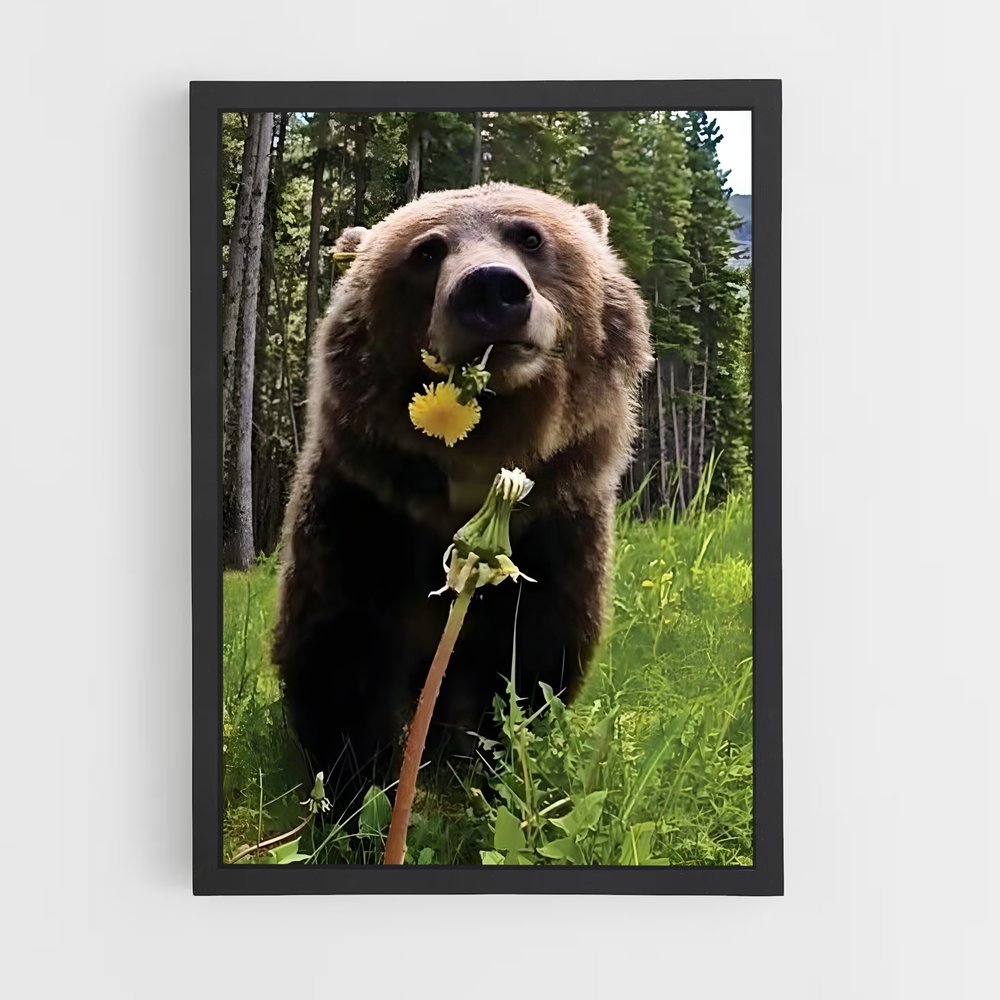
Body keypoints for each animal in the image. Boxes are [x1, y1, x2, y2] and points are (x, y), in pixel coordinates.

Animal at [273, 182, 652, 812]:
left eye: (529, 236)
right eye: (427, 251)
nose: (491, 288)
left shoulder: (556, 528)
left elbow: (529, 661)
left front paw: (488, 770)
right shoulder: (362, 513)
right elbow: (339, 651)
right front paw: (359, 790)